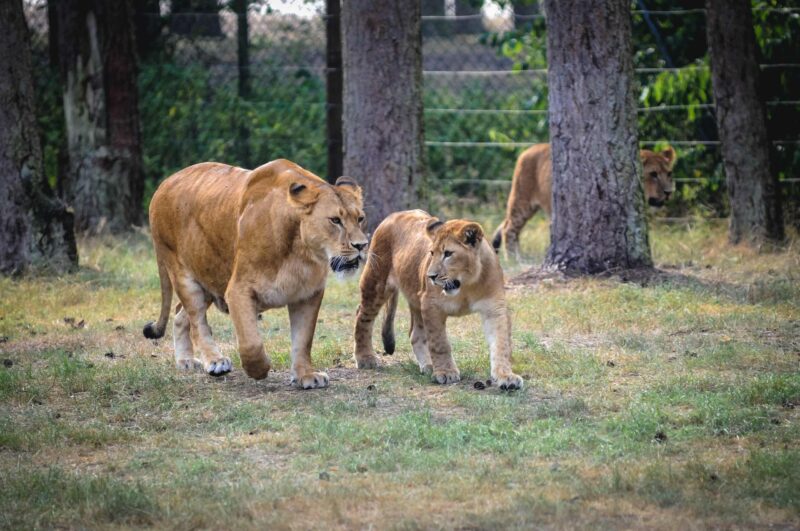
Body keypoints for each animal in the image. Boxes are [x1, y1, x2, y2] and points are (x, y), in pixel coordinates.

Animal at [144, 160, 368, 388]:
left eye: (360, 218)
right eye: (335, 220)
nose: (362, 245)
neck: (300, 252)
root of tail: (165, 184)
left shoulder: (308, 294)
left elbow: (303, 339)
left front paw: (306, 375)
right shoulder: (238, 290)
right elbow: (250, 341)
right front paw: (258, 369)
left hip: (210, 278)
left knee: (180, 314)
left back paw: (186, 361)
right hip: (183, 274)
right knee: (197, 322)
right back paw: (215, 361)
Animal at [354, 210, 520, 388]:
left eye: (448, 254)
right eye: (432, 253)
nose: (431, 276)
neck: (467, 285)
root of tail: (395, 214)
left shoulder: (495, 309)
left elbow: (501, 344)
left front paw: (506, 376)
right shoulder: (431, 304)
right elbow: (440, 343)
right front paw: (446, 373)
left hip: (415, 298)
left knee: (415, 334)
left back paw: (428, 365)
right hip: (376, 283)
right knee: (362, 316)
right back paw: (365, 358)